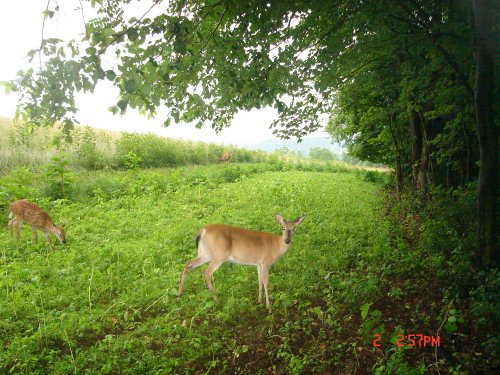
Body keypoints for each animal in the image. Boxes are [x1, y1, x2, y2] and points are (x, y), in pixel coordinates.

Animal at [178, 213, 306, 312]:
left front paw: (259, 301)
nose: (287, 240)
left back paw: (179, 295)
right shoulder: (266, 262)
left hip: (205, 253)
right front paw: (269, 307)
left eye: (293, 229)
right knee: (206, 272)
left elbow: (259, 280)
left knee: (188, 264)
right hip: (220, 254)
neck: (276, 246)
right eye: (283, 228)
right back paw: (217, 300)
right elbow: (266, 282)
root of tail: (202, 231)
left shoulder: (259, 264)